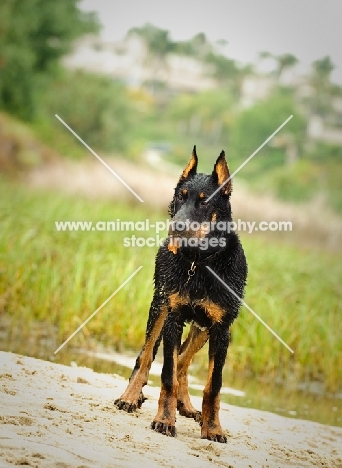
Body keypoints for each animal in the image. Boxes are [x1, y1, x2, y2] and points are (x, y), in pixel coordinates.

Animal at [114, 146, 246, 442]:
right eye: (180, 196)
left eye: (204, 202)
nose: (177, 226)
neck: (199, 263)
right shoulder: (173, 318)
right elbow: (167, 373)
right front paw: (164, 420)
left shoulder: (222, 329)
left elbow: (213, 384)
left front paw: (213, 428)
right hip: (159, 307)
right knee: (146, 357)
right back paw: (130, 397)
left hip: (202, 327)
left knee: (185, 361)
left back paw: (186, 406)